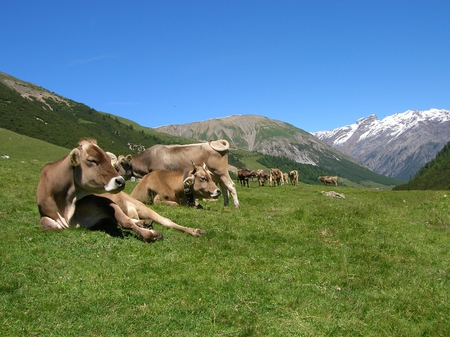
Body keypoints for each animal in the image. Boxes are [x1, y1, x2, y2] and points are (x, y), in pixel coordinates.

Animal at [36, 138, 205, 240]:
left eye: (107, 158)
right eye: (92, 160)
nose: (120, 181)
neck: (67, 207)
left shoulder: (107, 203)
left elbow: (125, 222)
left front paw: (150, 234)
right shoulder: (48, 217)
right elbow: (46, 224)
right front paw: (146, 229)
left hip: (142, 206)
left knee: (166, 221)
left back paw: (194, 231)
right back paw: (145, 223)